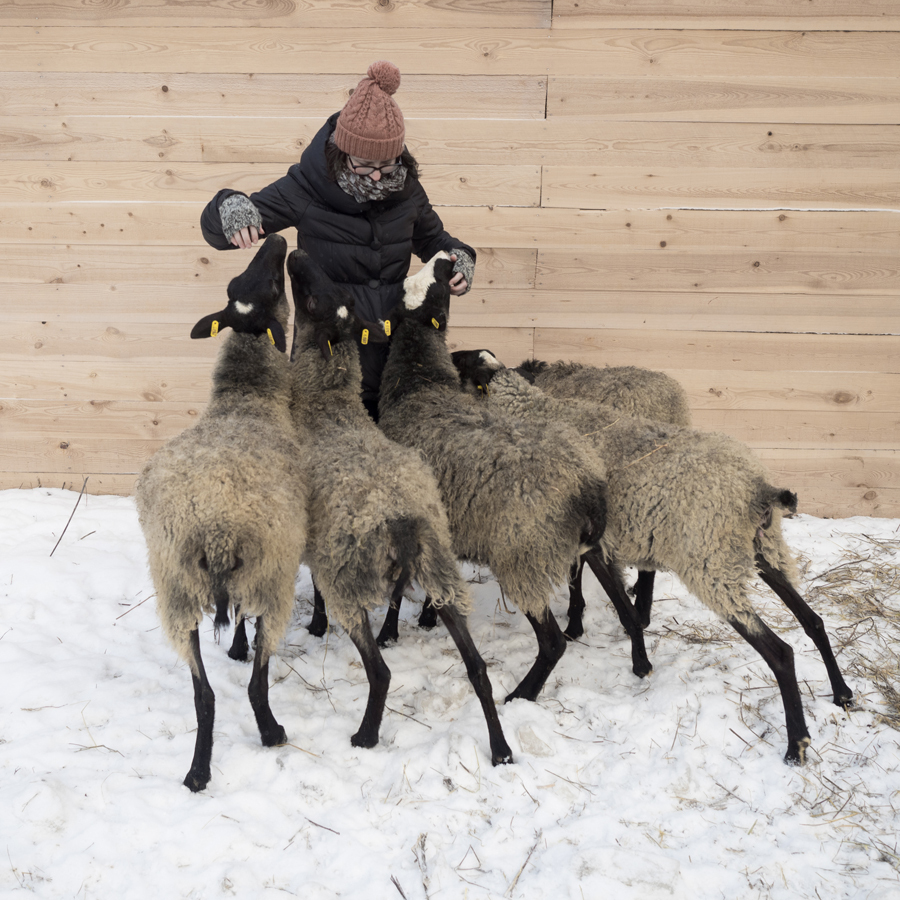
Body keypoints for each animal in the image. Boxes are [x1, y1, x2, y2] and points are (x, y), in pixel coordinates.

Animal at [134, 234, 308, 796]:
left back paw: (197, 771)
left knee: (203, 694)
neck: (245, 398)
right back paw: (271, 732)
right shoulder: (269, 568)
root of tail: (215, 529)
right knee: (257, 683)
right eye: (276, 285)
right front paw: (238, 646)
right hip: (273, 576)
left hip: (174, 588)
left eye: (236, 282)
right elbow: (248, 631)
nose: (275, 238)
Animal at [284, 248, 516, 768]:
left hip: (351, 578)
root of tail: (404, 521)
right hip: (442, 572)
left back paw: (365, 735)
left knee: (381, 671)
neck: (326, 403)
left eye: (314, 300)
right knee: (478, 669)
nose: (296, 253)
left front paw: (315, 625)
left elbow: (317, 589)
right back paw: (501, 749)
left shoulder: (318, 541)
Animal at [376, 253, 652, 704]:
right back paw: (642, 666)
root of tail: (587, 485)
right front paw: (429, 618)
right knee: (627, 611)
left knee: (553, 643)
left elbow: (399, 591)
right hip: (594, 547)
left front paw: (390, 631)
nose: (446, 257)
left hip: (522, 554)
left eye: (438, 286)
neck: (418, 384)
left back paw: (521, 695)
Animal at [454, 348, 692, 636]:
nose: (452, 356)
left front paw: (575, 618)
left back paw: (642, 613)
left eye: (468, 365)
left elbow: (575, 569)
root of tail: (667, 401)